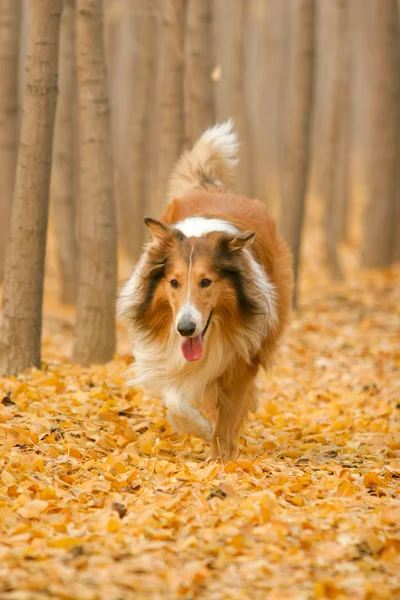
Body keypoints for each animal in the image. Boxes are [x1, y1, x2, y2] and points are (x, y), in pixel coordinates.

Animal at [117, 122, 292, 460]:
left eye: (206, 282)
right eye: (174, 283)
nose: (186, 328)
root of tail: (213, 188)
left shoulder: (243, 355)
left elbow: (228, 413)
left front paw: (221, 458)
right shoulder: (167, 352)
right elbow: (176, 398)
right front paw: (200, 429)